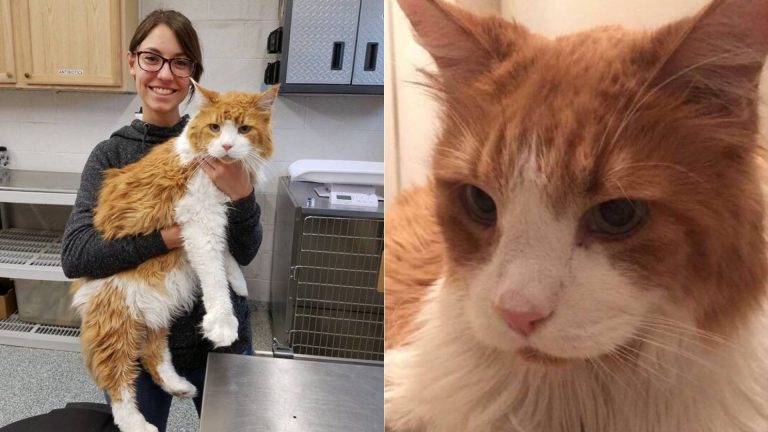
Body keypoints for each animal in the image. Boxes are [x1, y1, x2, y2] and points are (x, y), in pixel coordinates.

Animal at [72, 82, 280, 432]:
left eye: (244, 129)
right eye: (215, 127)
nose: (226, 145)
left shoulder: (213, 219)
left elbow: (226, 254)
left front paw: (238, 282)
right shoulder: (199, 219)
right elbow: (213, 275)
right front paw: (223, 323)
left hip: (155, 310)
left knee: (152, 354)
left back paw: (179, 385)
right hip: (116, 316)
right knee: (116, 379)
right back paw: (138, 424)